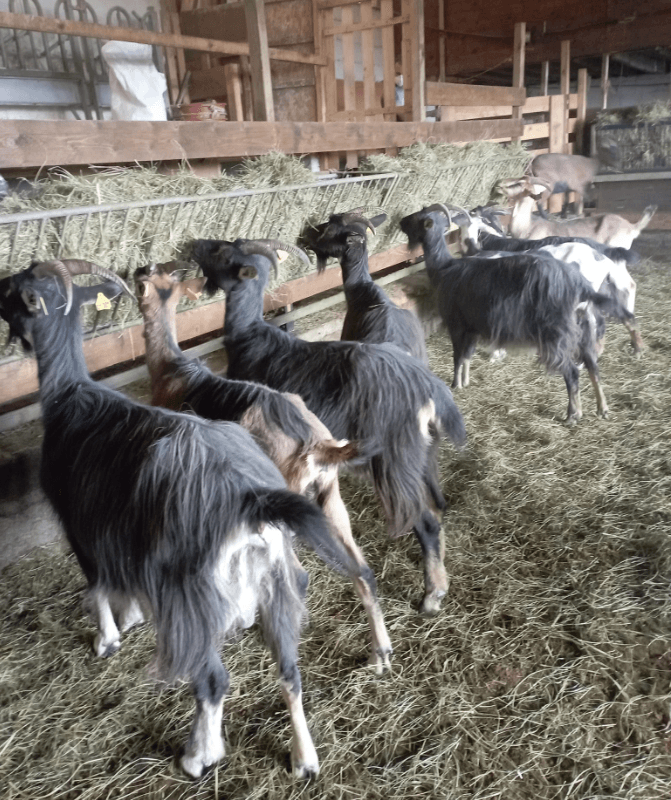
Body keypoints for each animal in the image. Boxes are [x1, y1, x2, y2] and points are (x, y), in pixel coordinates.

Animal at [0, 259, 364, 780]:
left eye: (19, 290)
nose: (0, 291)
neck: (72, 394)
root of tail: (253, 502)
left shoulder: (79, 522)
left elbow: (97, 584)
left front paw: (108, 638)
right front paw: (131, 615)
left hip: (191, 594)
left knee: (212, 678)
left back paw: (198, 755)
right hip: (284, 566)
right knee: (294, 665)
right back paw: (305, 757)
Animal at [135, 262, 392, 673]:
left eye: (147, 278)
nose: (137, 270)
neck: (170, 370)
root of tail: (317, 446)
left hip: (286, 507)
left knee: (299, 576)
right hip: (328, 499)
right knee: (362, 568)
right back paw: (379, 654)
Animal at [190, 237, 467, 616]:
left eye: (221, 252)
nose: (193, 246)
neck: (249, 336)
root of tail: (429, 389)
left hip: (394, 464)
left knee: (425, 521)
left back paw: (432, 594)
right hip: (421, 456)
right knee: (436, 505)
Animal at [399, 205, 638, 423]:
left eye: (419, 218)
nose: (401, 221)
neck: (445, 268)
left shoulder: (457, 323)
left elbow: (458, 356)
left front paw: (456, 384)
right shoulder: (473, 326)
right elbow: (467, 356)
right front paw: (465, 382)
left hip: (556, 335)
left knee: (572, 372)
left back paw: (573, 414)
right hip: (583, 326)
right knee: (593, 364)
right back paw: (602, 406)